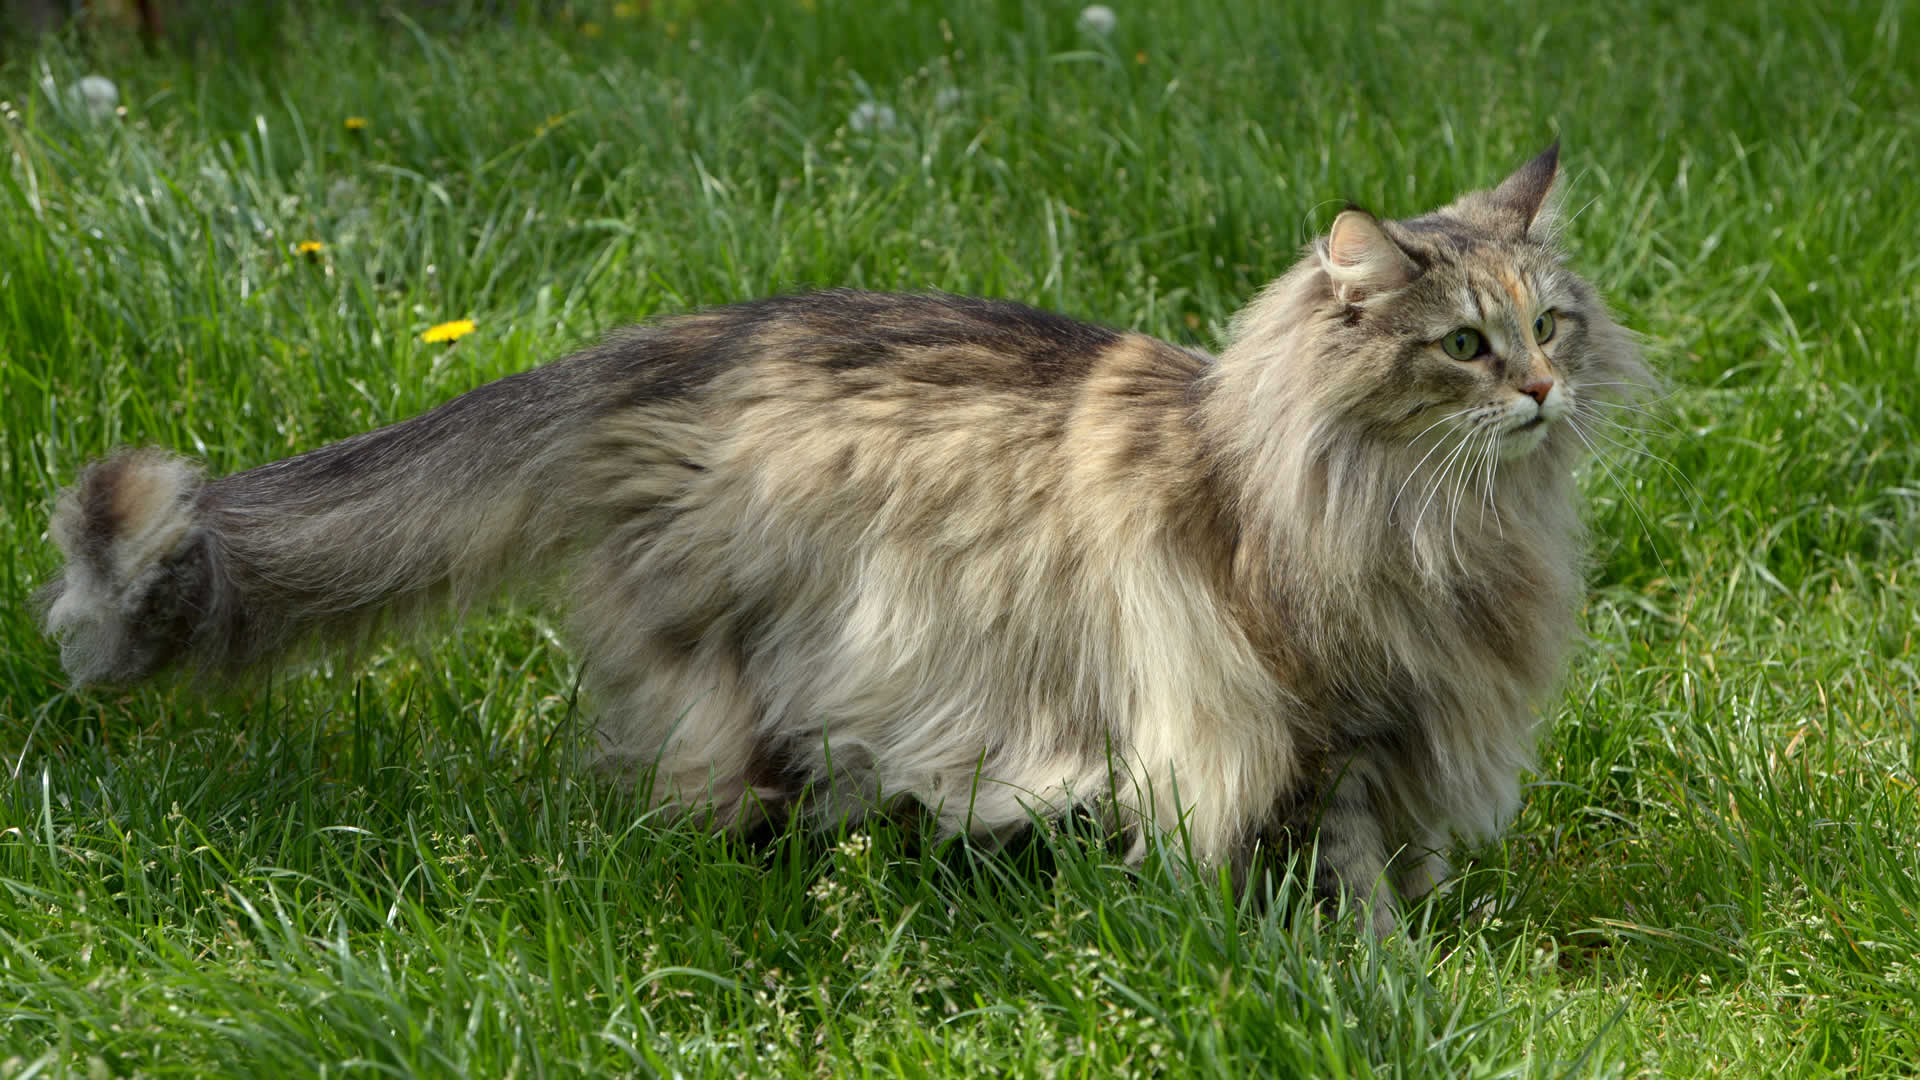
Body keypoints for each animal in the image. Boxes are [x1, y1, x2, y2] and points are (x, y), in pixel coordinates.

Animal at [37, 145, 1643, 933]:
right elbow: (1342, 876)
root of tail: (659, 343)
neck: (1432, 517)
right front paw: (1378, 982)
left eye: (1552, 325)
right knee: (691, 804)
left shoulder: (1406, 725)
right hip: (749, 666)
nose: (1541, 390)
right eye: (1464, 345)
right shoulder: (1309, 730)